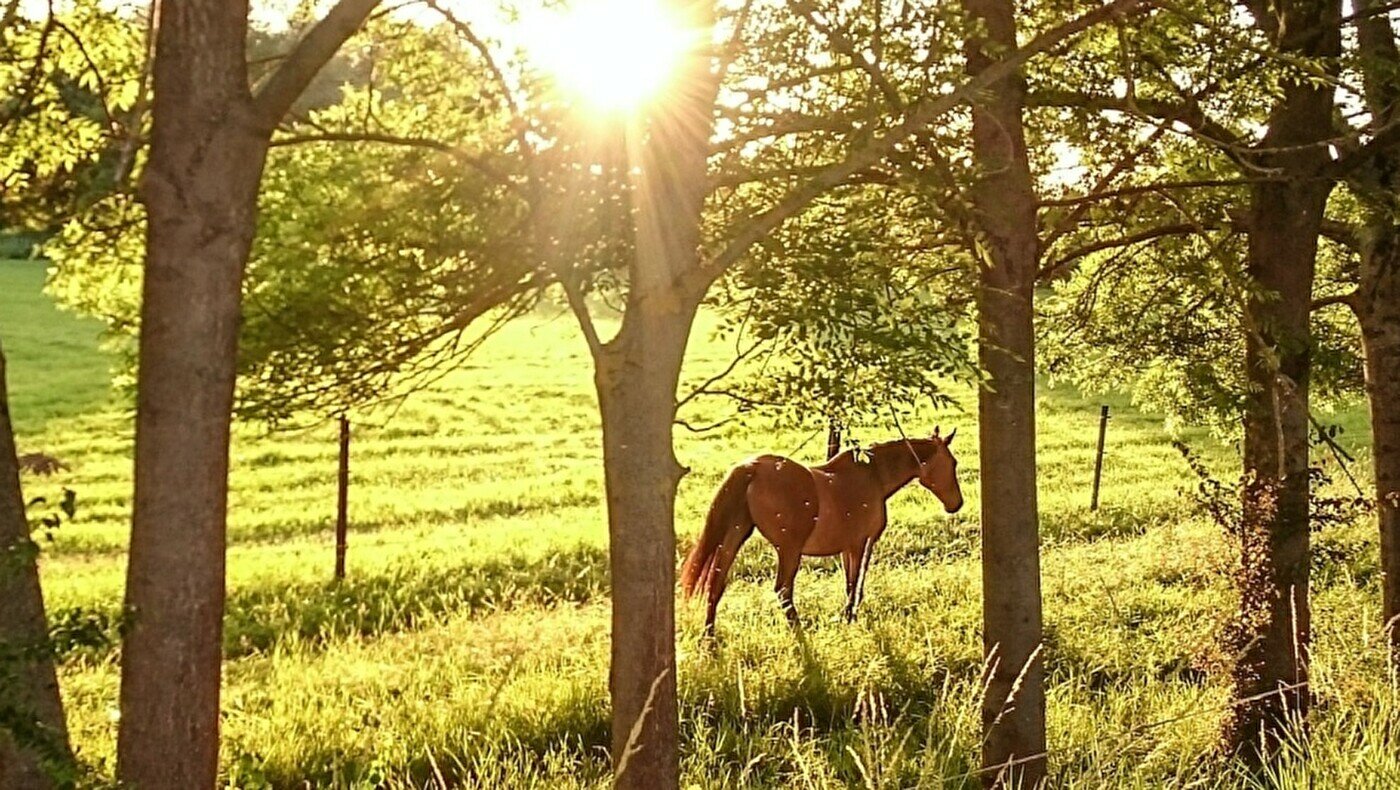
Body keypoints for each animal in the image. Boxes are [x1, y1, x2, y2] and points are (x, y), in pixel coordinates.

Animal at [677, 425, 963, 635]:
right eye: (953, 463)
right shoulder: (862, 544)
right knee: (783, 590)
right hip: (788, 549)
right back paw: (798, 630)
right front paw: (850, 618)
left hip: (735, 535)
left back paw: (710, 638)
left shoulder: (848, 547)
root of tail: (752, 468)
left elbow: (850, 583)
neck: (874, 476)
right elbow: (855, 584)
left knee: (716, 584)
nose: (956, 504)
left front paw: (847, 617)